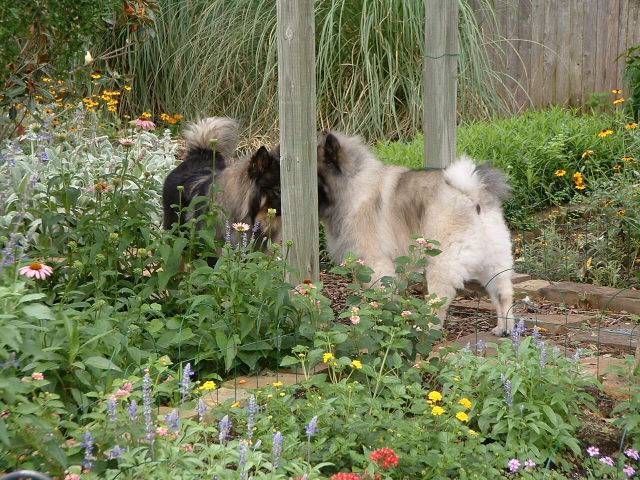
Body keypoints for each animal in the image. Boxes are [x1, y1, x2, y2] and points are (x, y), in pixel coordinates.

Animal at [315, 131, 515, 335]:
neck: (353, 182)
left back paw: (426, 329)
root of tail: (471, 194)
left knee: (440, 300)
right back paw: (505, 328)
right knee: (502, 294)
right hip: (492, 262)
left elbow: (379, 294)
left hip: (441, 261)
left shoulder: (376, 263)